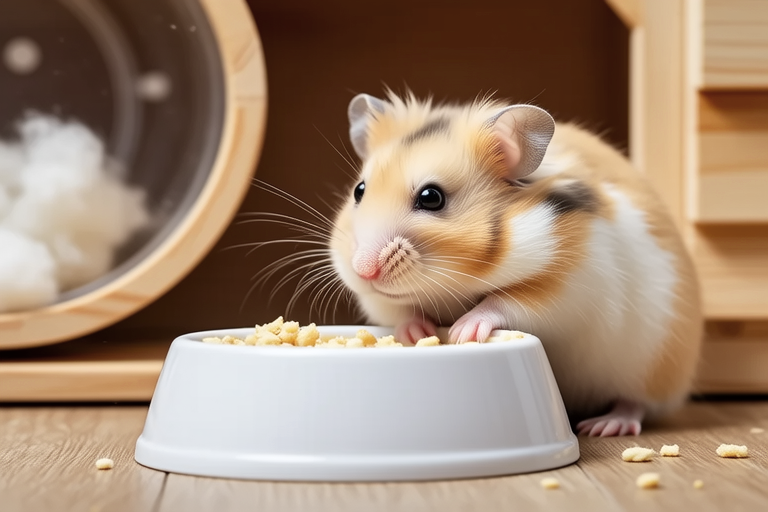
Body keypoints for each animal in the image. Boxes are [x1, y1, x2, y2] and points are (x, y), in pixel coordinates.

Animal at [329, 91, 703, 436]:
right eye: (359, 190)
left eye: (431, 197)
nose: (363, 270)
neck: (457, 282)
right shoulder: (377, 301)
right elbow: (401, 311)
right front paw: (418, 332)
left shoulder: (569, 288)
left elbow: (506, 301)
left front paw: (463, 330)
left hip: (652, 364)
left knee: (637, 402)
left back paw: (605, 425)